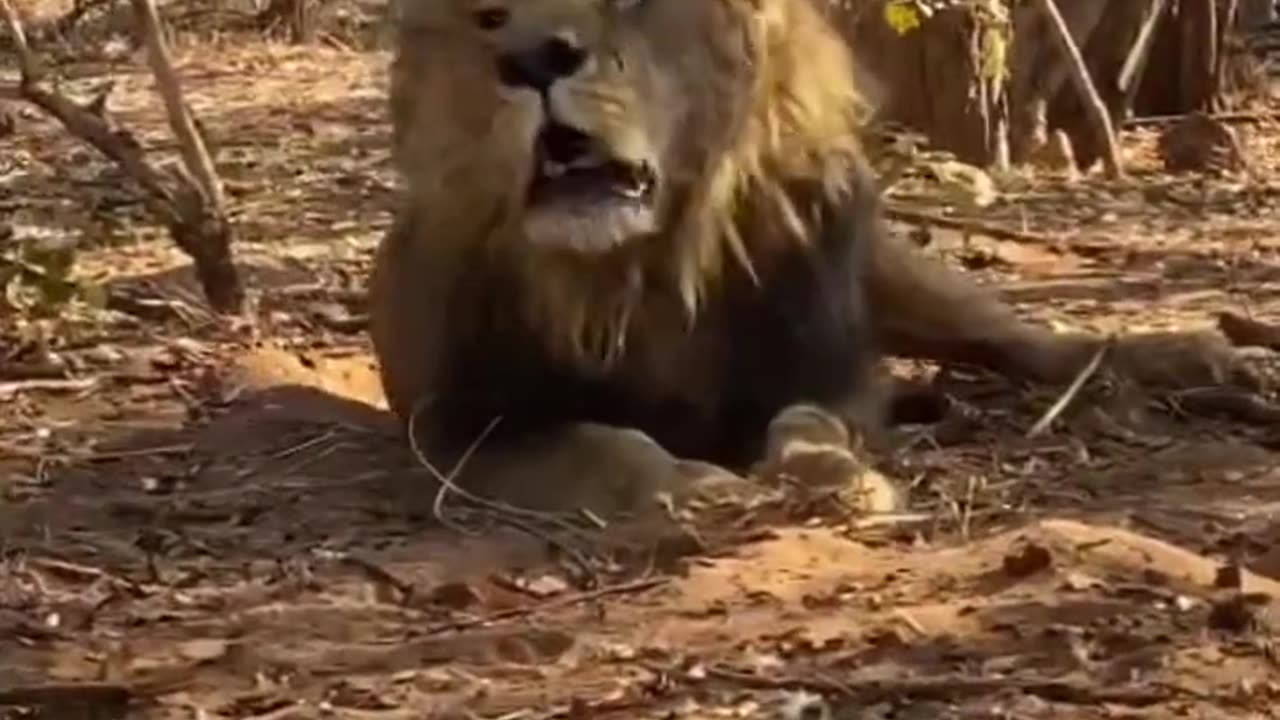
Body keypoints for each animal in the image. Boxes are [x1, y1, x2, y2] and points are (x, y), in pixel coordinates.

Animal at [371, 0, 1249, 515]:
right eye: (488, 15)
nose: (532, 61)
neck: (635, 266)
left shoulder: (824, 366)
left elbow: (811, 418)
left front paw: (829, 473)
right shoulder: (456, 426)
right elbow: (598, 444)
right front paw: (689, 491)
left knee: (1030, 340)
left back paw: (1197, 361)